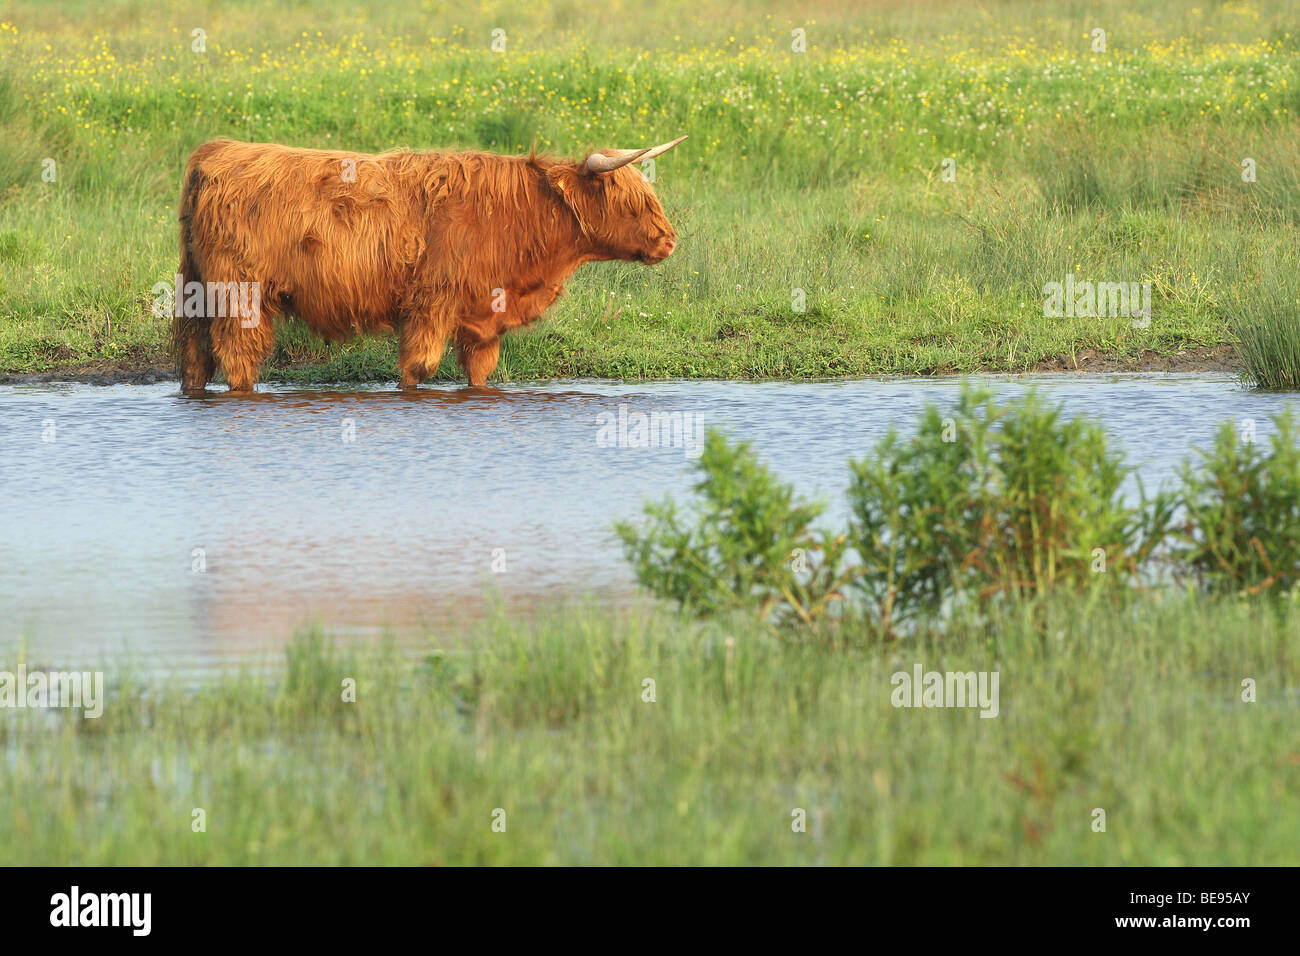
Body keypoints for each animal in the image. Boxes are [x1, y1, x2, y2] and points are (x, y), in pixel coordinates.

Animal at [174, 134, 686, 392]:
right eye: (631, 201)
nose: (669, 241)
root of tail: (218, 151)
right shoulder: (430, 303)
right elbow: (418, 368)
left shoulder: (484, 317)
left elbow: (480, 372)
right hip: (240, 296)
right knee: (238, 359)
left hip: (199, 291)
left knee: (196, 358)